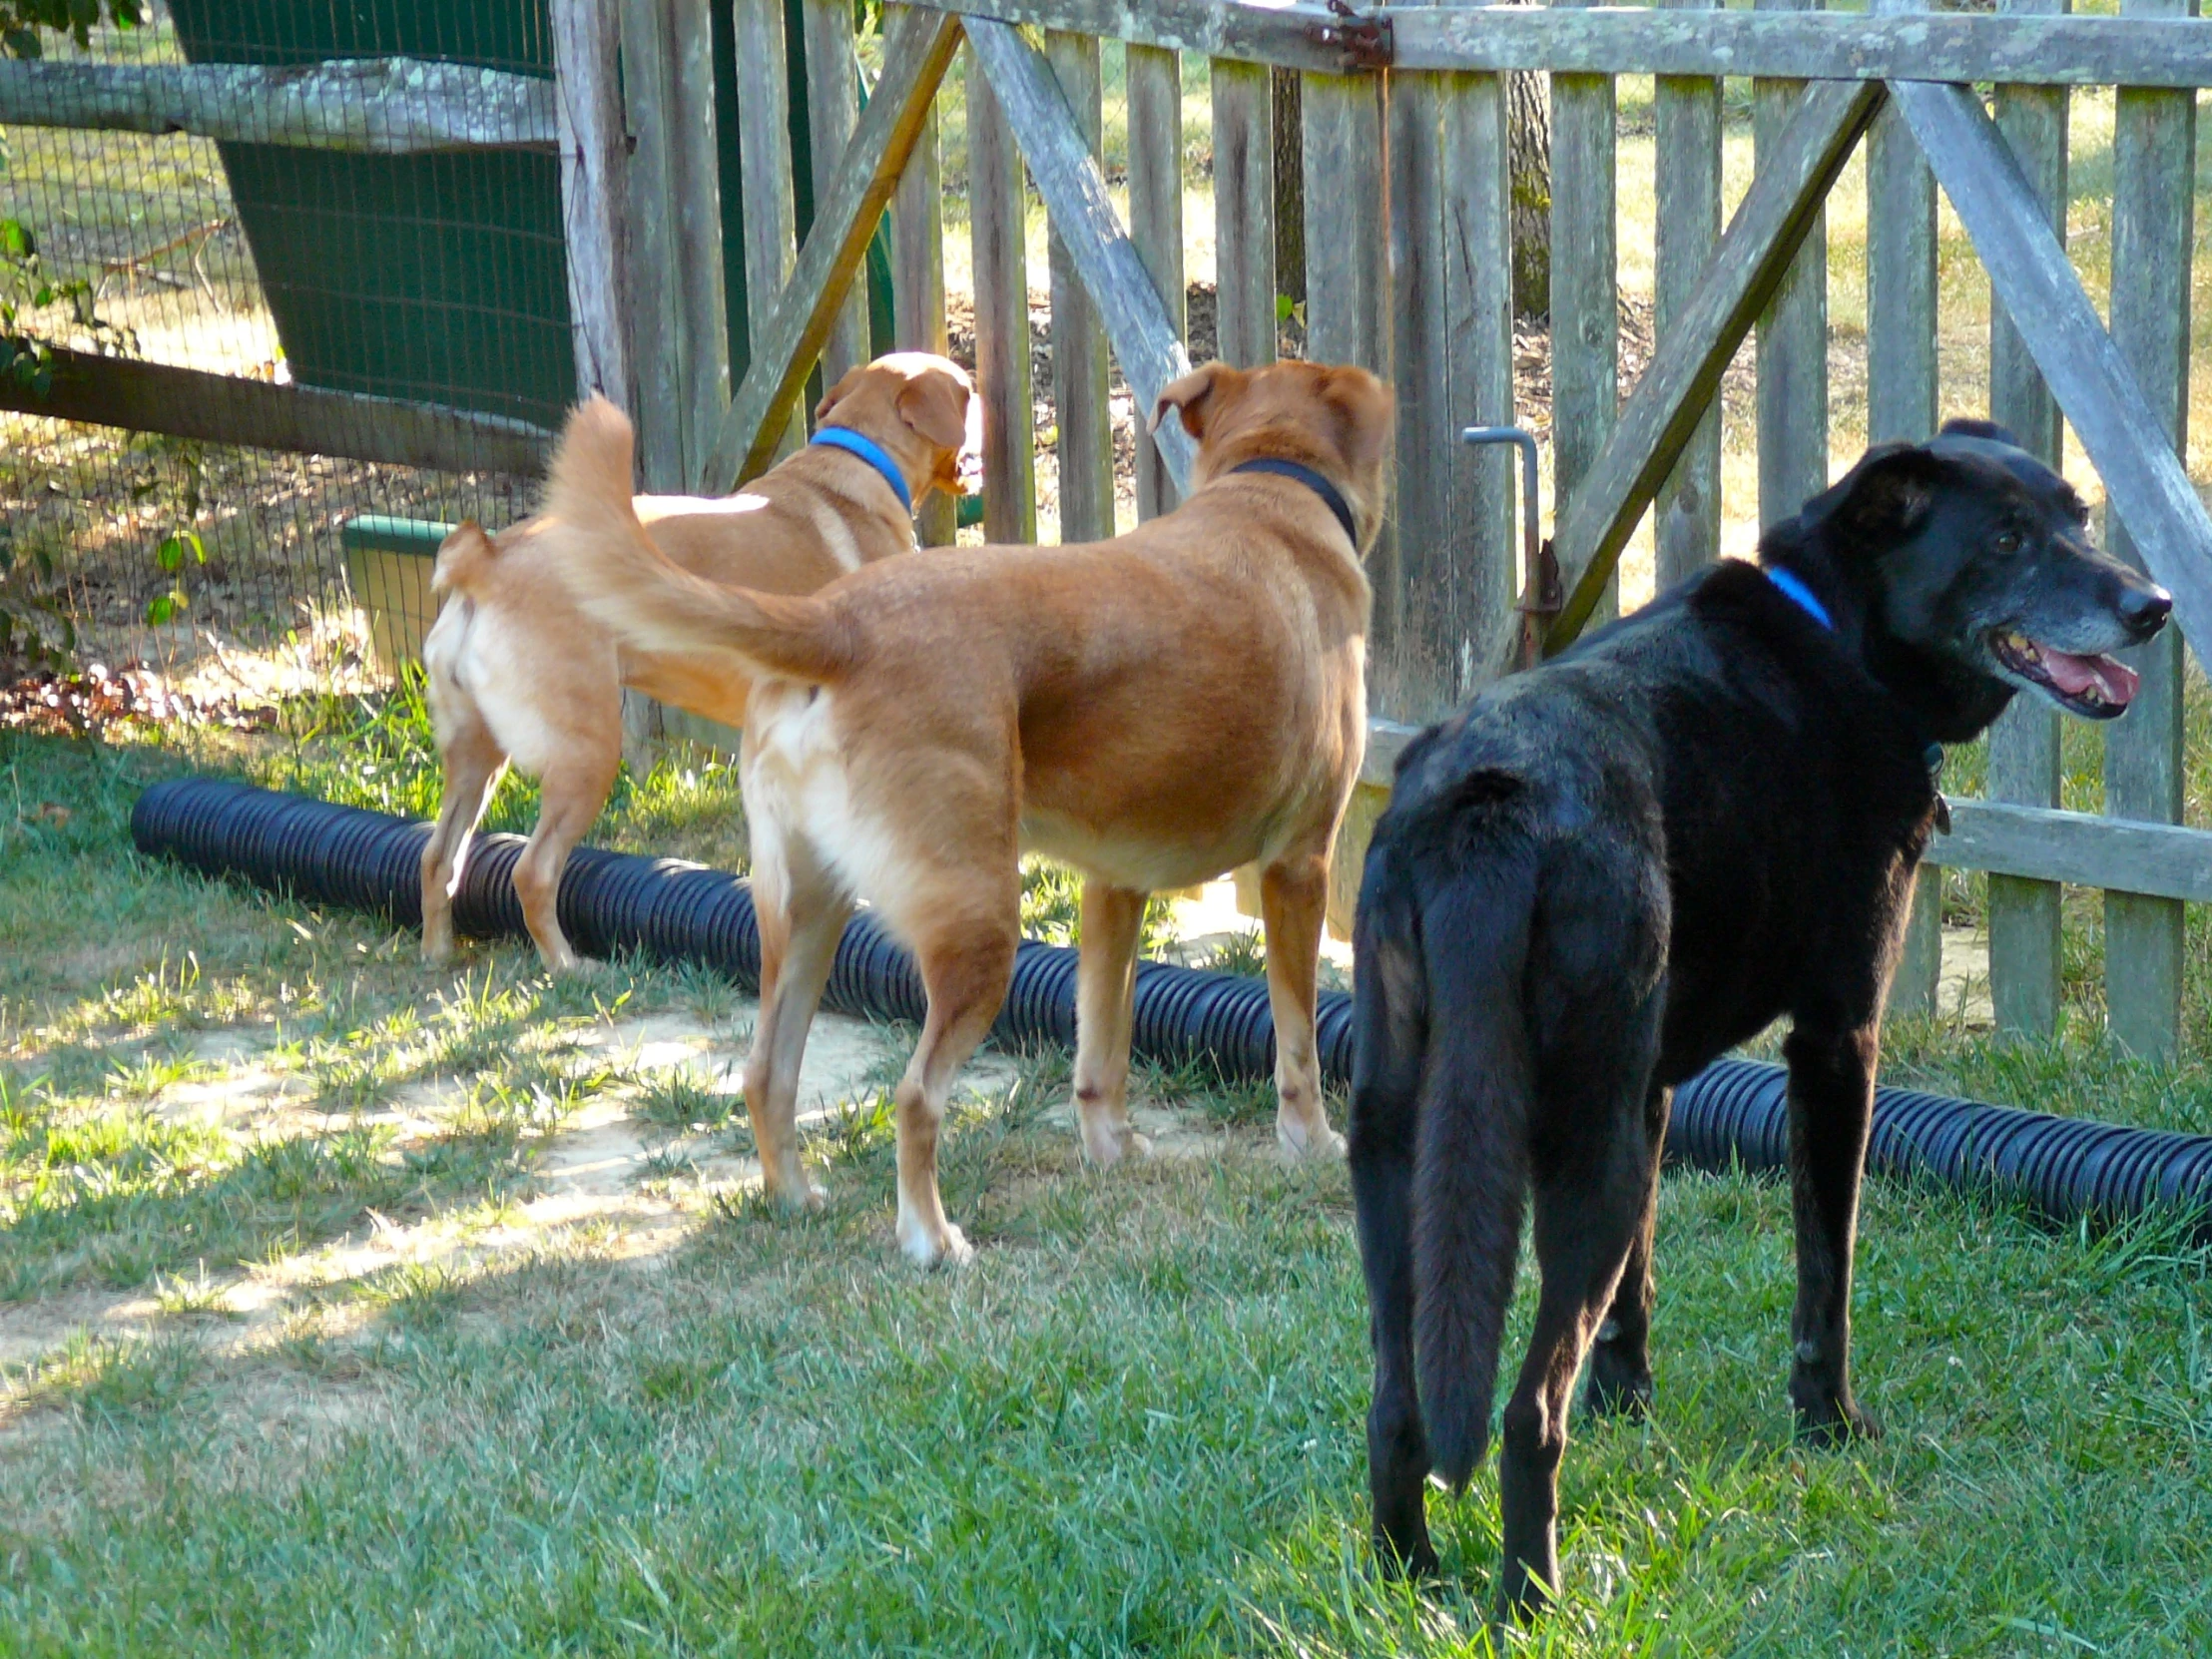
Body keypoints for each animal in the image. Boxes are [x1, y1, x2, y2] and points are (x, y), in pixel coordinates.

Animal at [415, 351, 968, 973]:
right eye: (968, 393)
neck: (858, 459)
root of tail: (487, 558)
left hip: (477, 756)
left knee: (437, 857)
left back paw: (436, 954)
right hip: (585, 755)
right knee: (532, 871)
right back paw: (568, 967)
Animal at [541, 357, 1388, 1265]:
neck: (1274, 482)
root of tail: (836, 624)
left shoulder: (1112, 890)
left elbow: (1102, 1047)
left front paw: (1111, 1149)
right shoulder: (1297, 868)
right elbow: (1297, 1041)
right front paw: (1312, 1143)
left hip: (806, 914)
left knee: (769, 1071)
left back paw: (796, 1199)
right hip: (980, 928)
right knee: (915, 1096)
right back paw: (933, 1239)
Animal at [1354, 422, 2167, 1619]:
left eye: (2077, 514)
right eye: (2007, 540)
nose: (2153, 606)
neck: (1837, 636)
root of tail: (1488, 804)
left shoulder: (1650, 1092)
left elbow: (1635, 1291)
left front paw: (1630, 1406)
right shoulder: (1834, 1042)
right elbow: (1826, 1269)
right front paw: (1829, 1423)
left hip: (1396, 1147)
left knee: (1397, 1404)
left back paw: (1405, 1576)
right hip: (1579, 1154)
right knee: (1523, 1413)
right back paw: (1532, 1603)